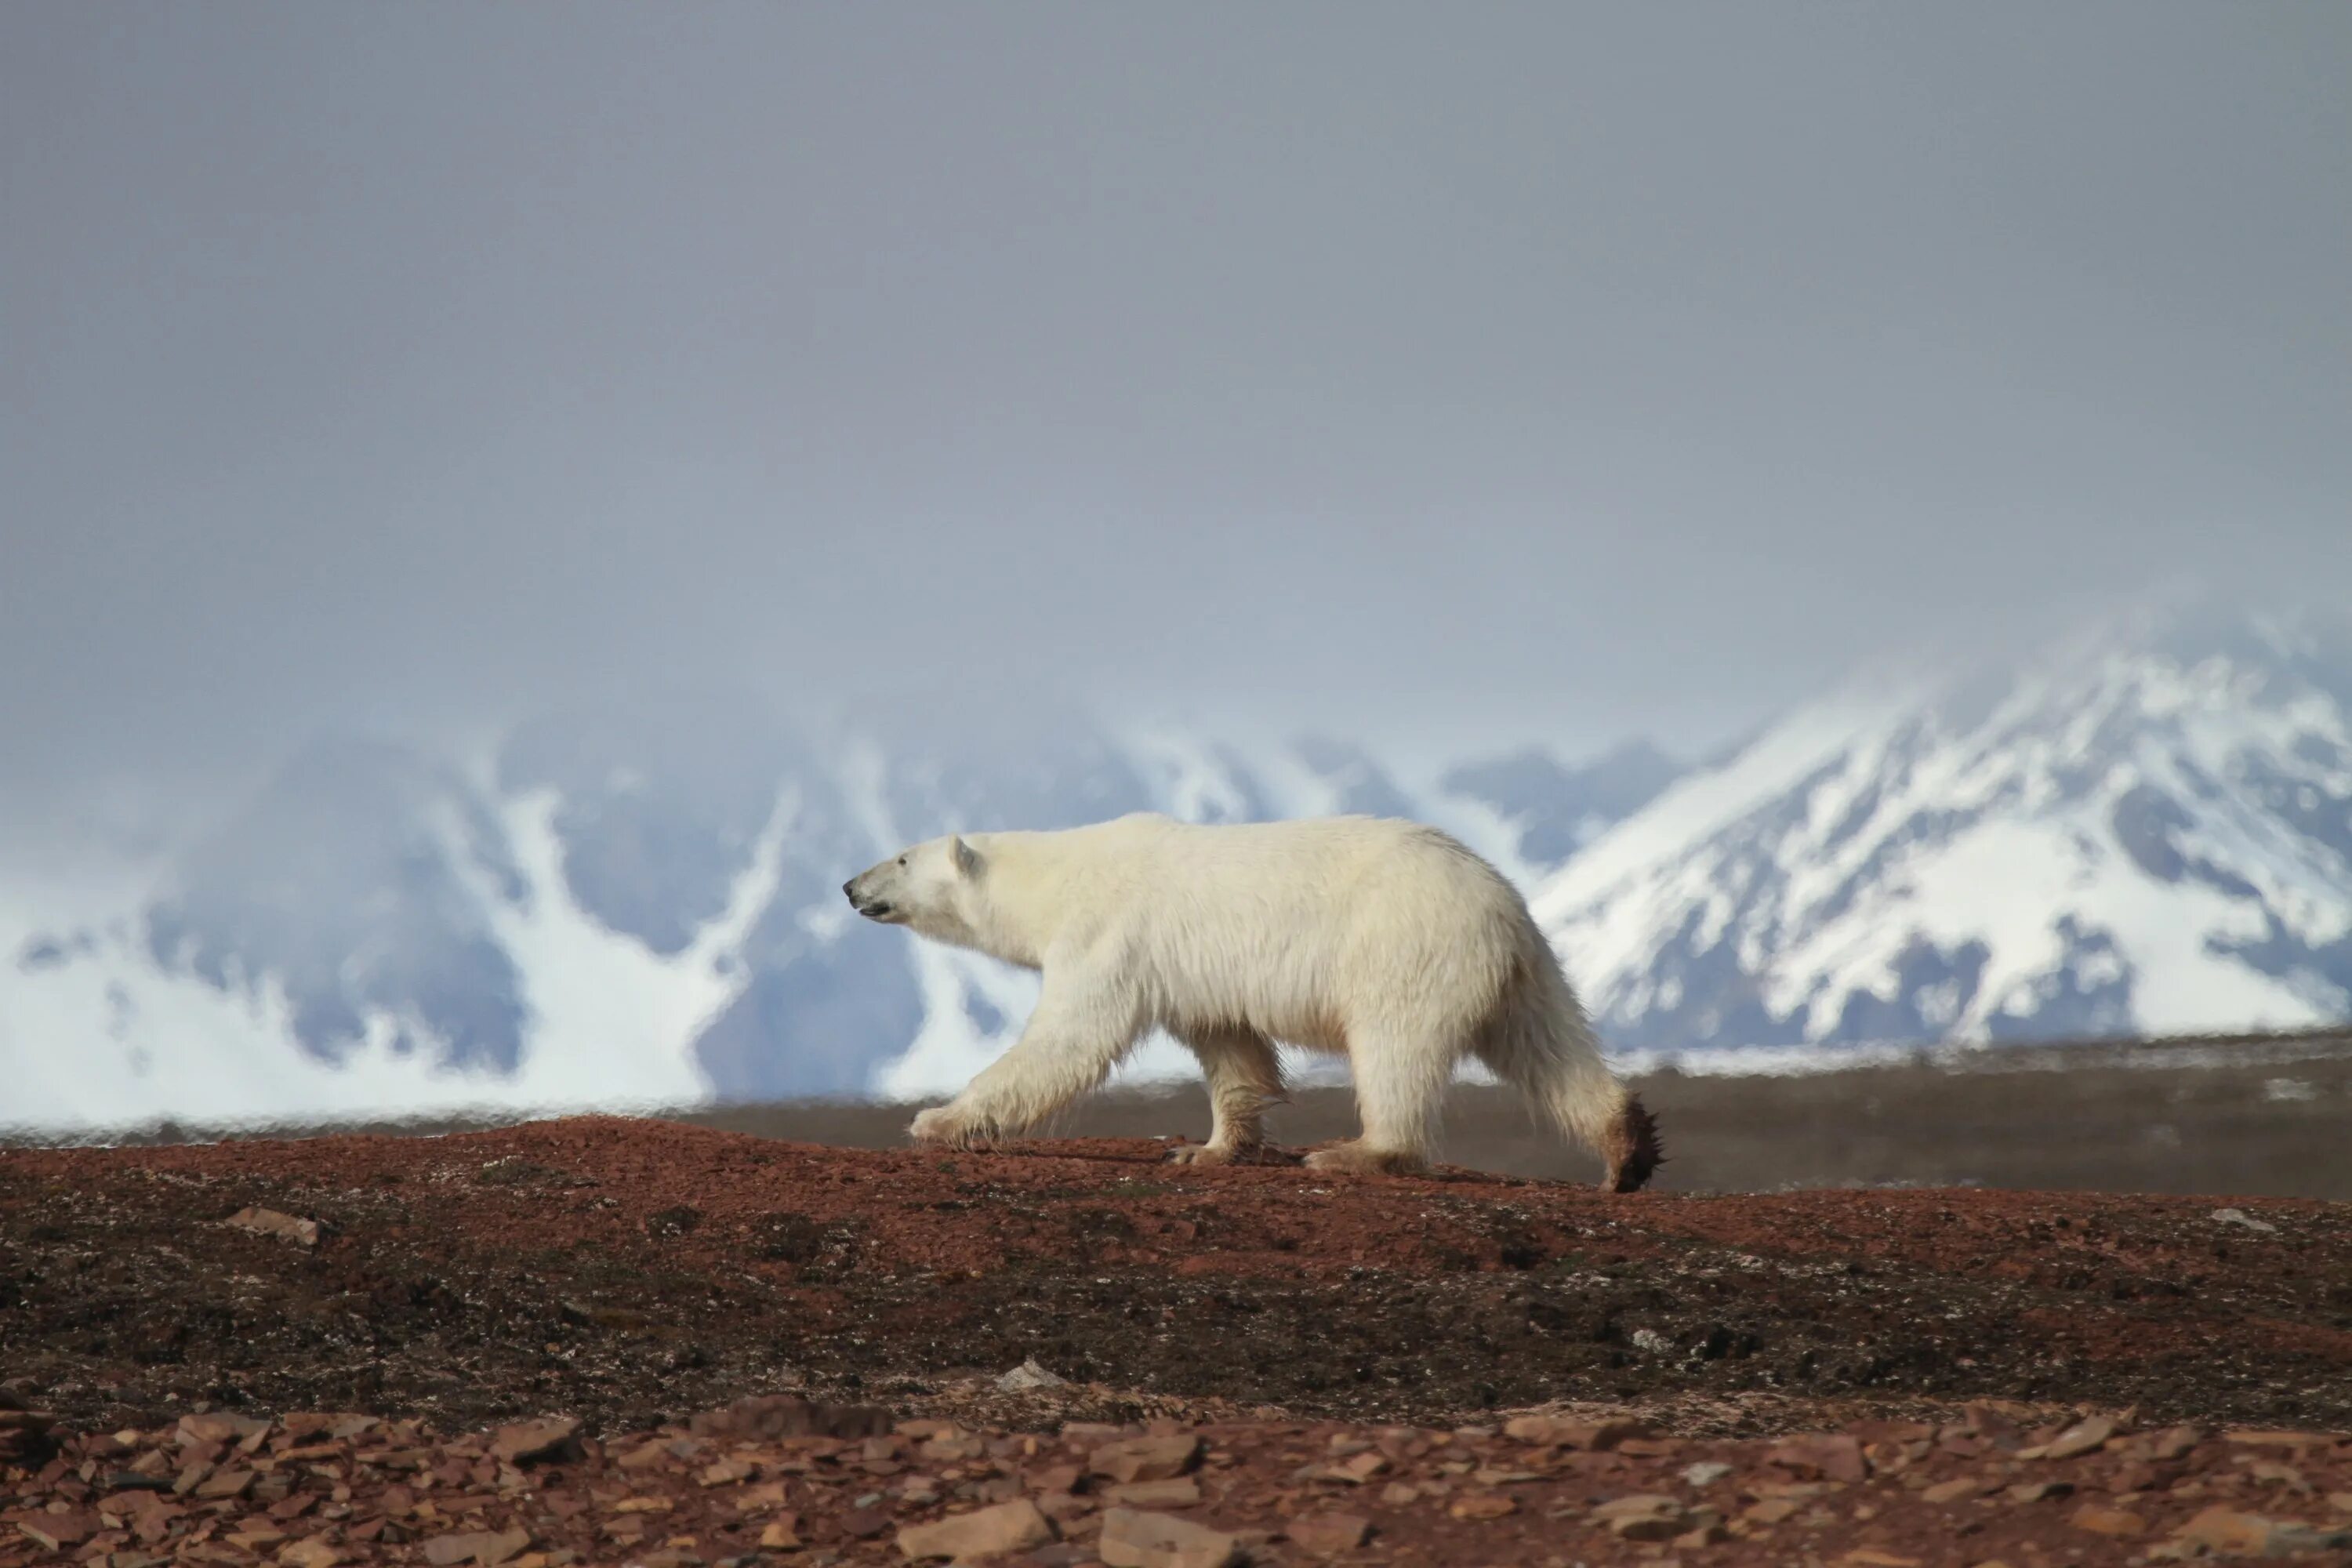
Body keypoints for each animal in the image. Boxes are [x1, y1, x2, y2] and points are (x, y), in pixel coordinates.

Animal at [837, 808, 1665, 1189]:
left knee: (1394, 1048)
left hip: (1403, 947)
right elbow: (1230, 1048)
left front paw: (938, 1120)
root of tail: (1500, 902)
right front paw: (1205, 1147)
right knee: (1548, 1048)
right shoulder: (1195, 975)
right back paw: (1627, 1148)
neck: (1057, 876)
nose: (848, 885)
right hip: (1524, 969)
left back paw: (1355, 1151)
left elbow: (1069, 1038)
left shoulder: (1107, 935)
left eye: (901, 857)